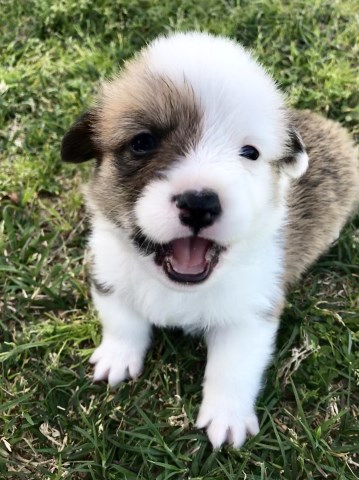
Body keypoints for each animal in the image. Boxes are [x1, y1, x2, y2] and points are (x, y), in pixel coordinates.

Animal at [62, 31, 359, 448]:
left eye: (250, 152)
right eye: (143, 142)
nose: (200, 204)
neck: (177, 289)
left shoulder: (250, 315)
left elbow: (232, 367)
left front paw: (227, 417)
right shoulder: (109, 275)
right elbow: (122, 321)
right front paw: (117, 357)